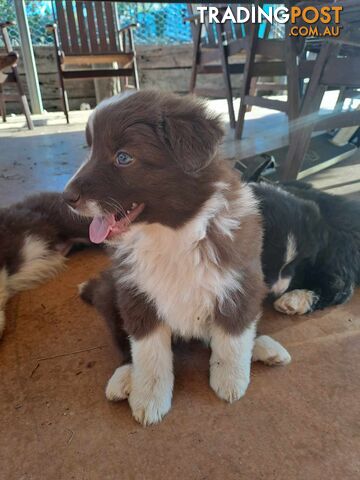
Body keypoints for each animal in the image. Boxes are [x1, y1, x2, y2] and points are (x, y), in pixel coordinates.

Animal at [63, 92, 292, 426]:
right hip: (111, 295)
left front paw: (230, 381)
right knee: (124, 345)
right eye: (89, 150)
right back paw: (124, 377)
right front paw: (148, 399)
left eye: (123, 157)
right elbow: (148, 354)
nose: (66, 197)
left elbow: (233, 338)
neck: (173, 233)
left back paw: (263, 345)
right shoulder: (137, 296)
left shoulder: (239, 280)